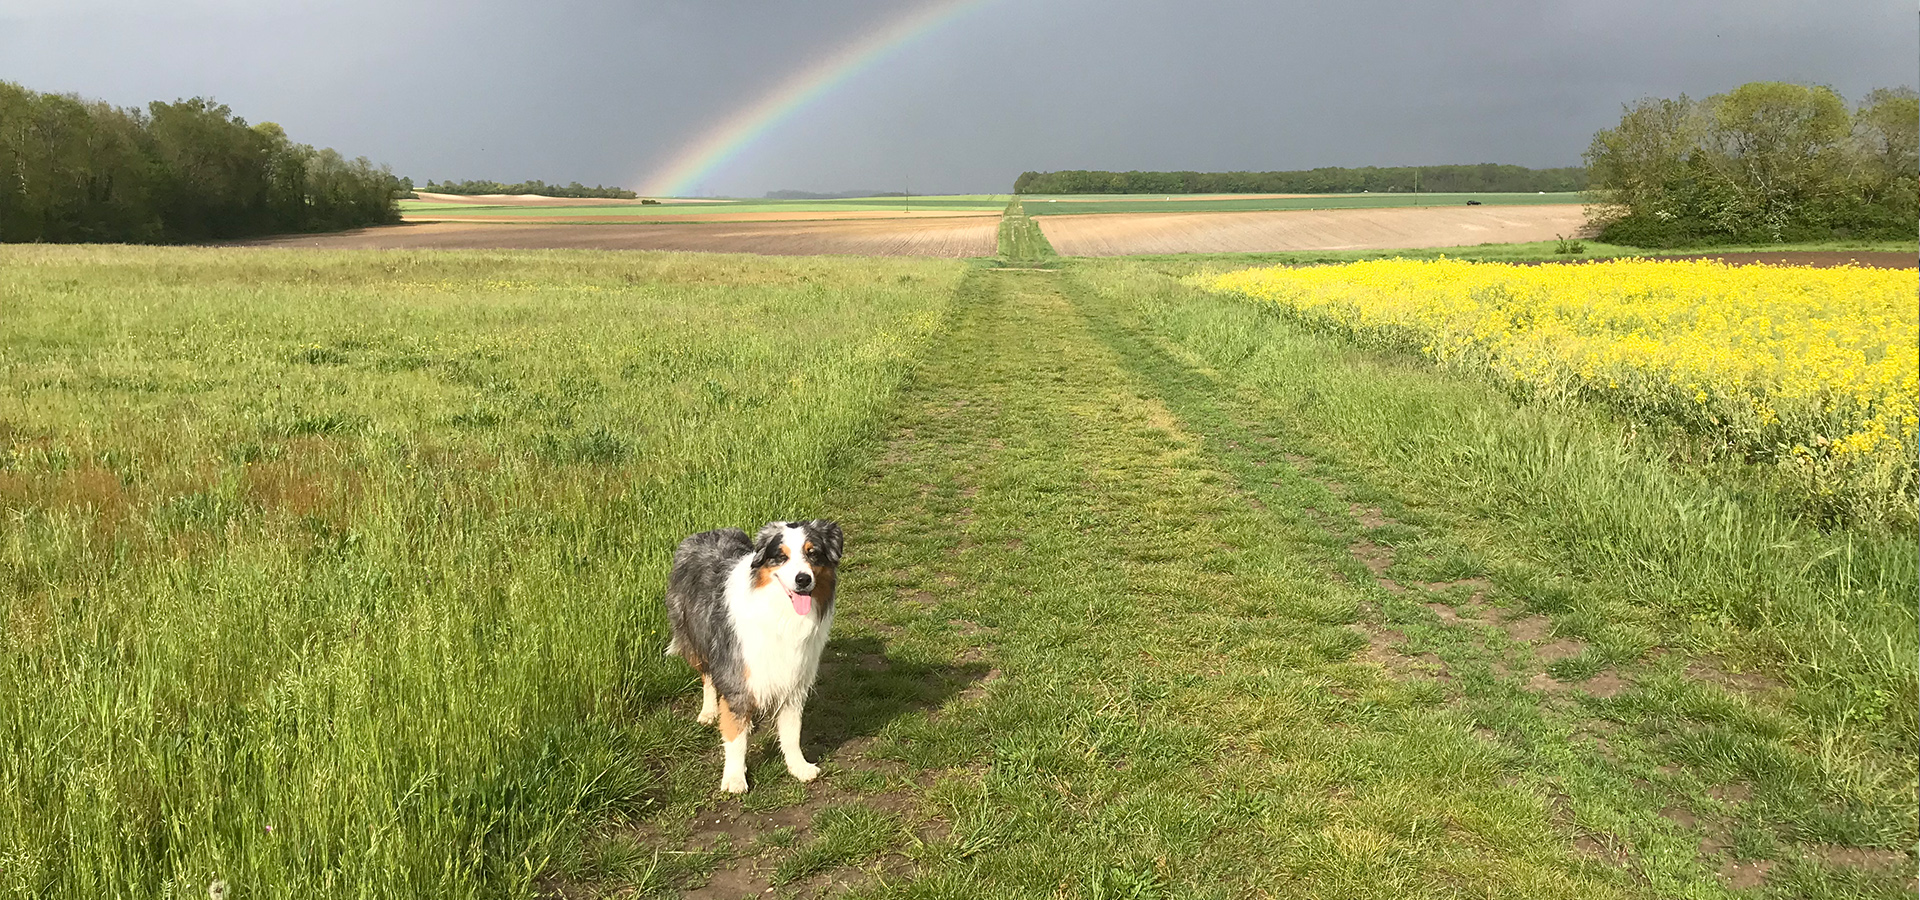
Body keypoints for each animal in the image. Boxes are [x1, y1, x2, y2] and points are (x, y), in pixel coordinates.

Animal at [664, 514, 844, 790]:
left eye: (812, 553)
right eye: (781, 556)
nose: (803, 579)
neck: (781, 614)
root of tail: (706, 533)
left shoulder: (793, 681)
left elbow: (792, 733)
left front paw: (798, 767)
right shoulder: (736, 676)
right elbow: (735, 738)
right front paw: (734, 778)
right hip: (696, 639)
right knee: (707, 676)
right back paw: (709, 712)